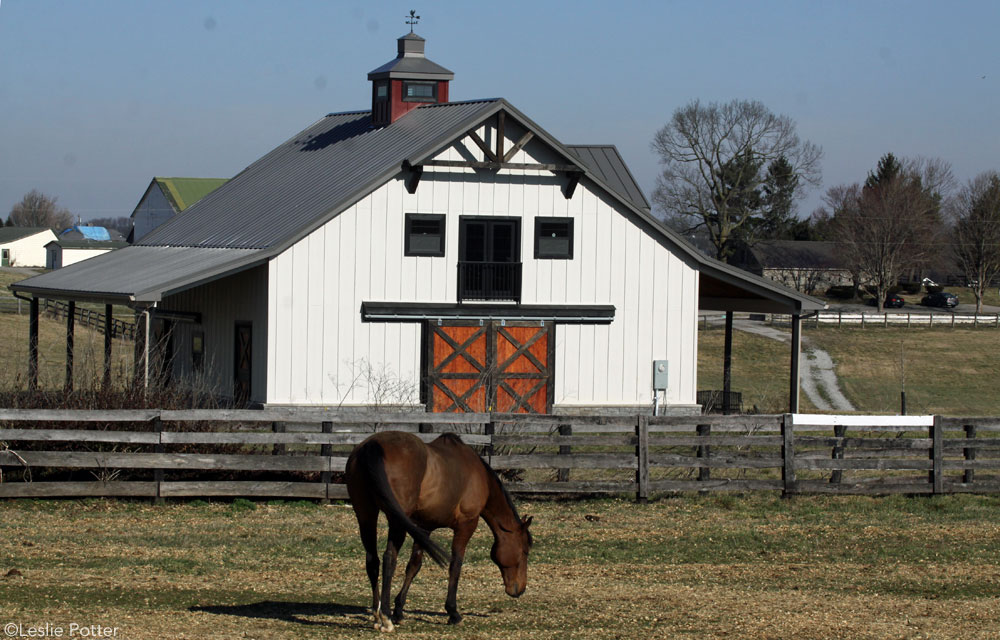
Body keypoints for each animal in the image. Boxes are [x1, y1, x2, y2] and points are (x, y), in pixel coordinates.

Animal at [344, 430, 532, 632]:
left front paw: (399, 610)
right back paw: (385, 617)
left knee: (373, 560)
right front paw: (453, 612)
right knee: (389, 559)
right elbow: (455, 565)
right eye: (524, 551)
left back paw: (377, 613)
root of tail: (373, 445)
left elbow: (414, 565)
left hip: (365, 514)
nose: (519, 589)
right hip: (396, 521)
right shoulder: (466, 525)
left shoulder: (424, 528)